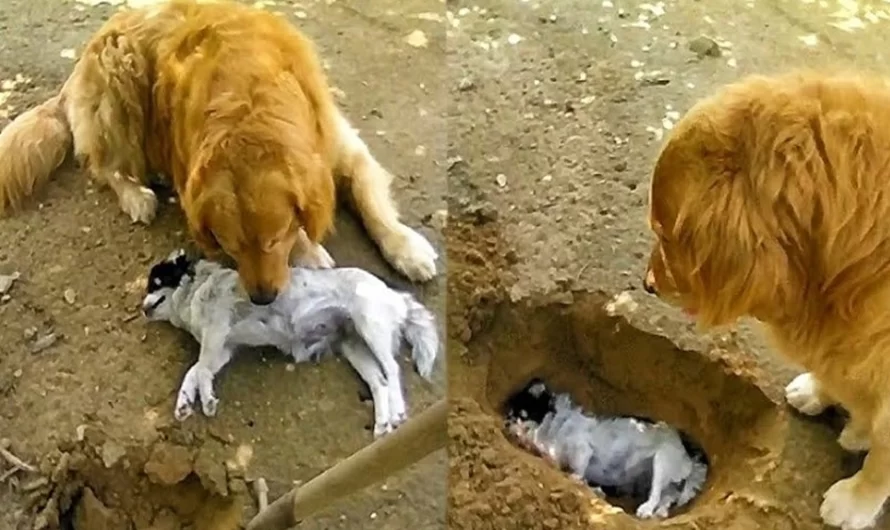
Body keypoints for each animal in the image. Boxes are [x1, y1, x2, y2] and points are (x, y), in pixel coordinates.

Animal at [140, 250, 440, 436]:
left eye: (155, 283)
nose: (141, 309)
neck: (196, 289)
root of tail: (394, 294)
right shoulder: (222, 349)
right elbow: (194, 371)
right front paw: (184, 403)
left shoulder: (216, 334)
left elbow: (200, 370)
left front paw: (207, 401)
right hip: (355, 347)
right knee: (379, 381)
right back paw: (382, 423)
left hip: (370, 327)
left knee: (392, 369)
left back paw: (397, 411)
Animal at [502, 378, 704, 516]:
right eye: (509, 416)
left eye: (520, 415)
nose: (506, 424)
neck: (555, 429)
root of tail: (687, 453)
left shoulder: (582, 450)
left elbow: (576, 471)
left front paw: (579, 480)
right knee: (668, 496)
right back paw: (660, 512)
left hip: (661, 463)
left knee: (656, 494)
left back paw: (646, 509)